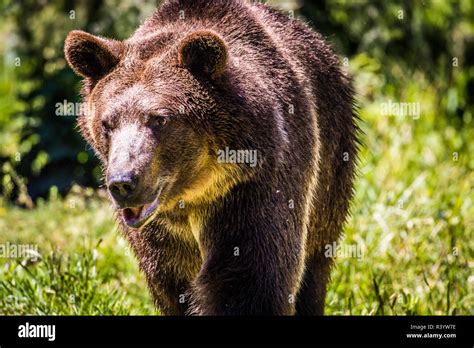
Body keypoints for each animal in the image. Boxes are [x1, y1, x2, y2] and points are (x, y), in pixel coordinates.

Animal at [64, 0, 360, 316]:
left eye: (159, 119)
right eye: (107, 123)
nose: (123, 182)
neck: (193, 194)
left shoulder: (252, 185)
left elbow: (250, 279)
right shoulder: (162, 235)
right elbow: (171, 285)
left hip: (331, 163)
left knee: (316, 259)